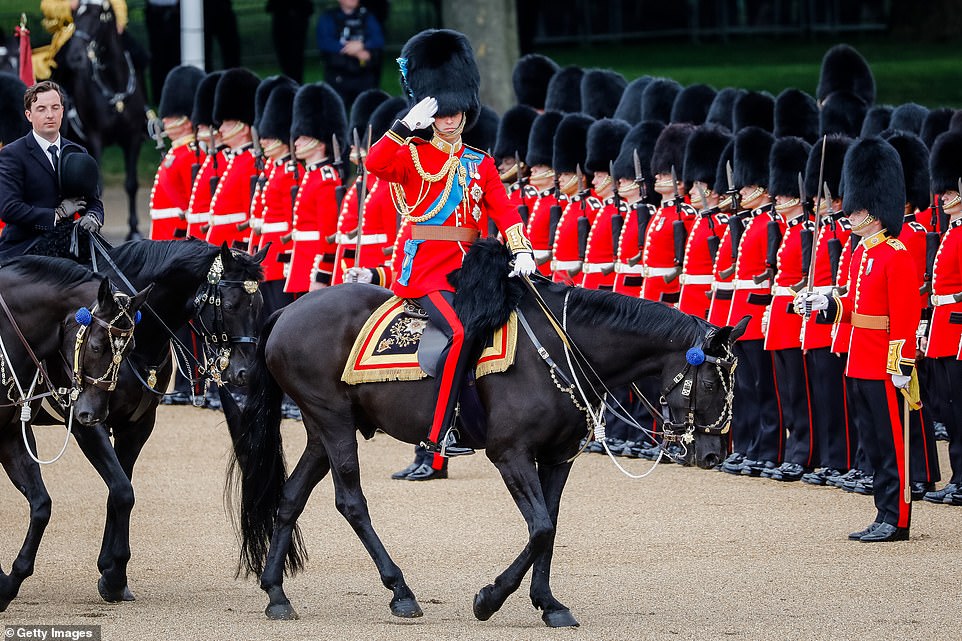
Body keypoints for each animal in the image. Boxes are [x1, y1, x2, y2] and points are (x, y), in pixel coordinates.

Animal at [0, 255, 150, 608]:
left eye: (131, 347)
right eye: (96, 346)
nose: (93, 415)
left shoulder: (10, 436)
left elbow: (42, 505)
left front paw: (8, 582)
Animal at [53, 0, 146, 239]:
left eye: (98, 15)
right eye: (76, 15)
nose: (75, 57)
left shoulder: (132, 138)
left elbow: (131, 184)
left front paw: (134, 229)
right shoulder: (96, 139)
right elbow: (97, 185)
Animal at [60, 238, 264, 604]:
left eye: (260, 305)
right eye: (229, 304)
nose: (246, 373)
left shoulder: (137, 426)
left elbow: (120, 489)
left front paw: (112, 571)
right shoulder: (86, 420)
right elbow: (121, 490)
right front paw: (113, 576)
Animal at [229, 239, 748, 624]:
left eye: (732, 380)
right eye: (708, 380)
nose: (712, 455)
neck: (563, 345)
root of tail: (289, 311)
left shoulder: (557, 457)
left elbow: (549, 526)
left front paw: (549, 604)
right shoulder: (510, 453)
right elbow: (540, 527)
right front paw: (490, 598)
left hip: (324, 426)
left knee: (291, 496)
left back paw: (276, 593)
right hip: (333, 419)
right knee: (351, 500)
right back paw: (400, 590)